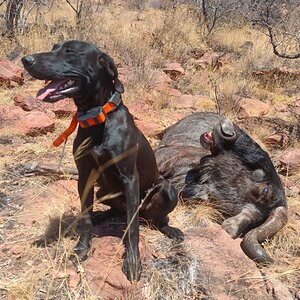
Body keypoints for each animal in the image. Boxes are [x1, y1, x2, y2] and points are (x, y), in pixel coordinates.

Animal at [21, 39, 183, 282]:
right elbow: (85, 217)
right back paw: (100, 215)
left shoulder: (130, 177)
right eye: (54, 47)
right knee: (116, 211)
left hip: (167, 189)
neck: (96, 117)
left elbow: (132, 227)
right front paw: (82, 247)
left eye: (70, 51)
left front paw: (132, 260)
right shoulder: (85, 176)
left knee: (153, 218)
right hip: (102, 191)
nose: (26, 60)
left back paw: (169, 229)